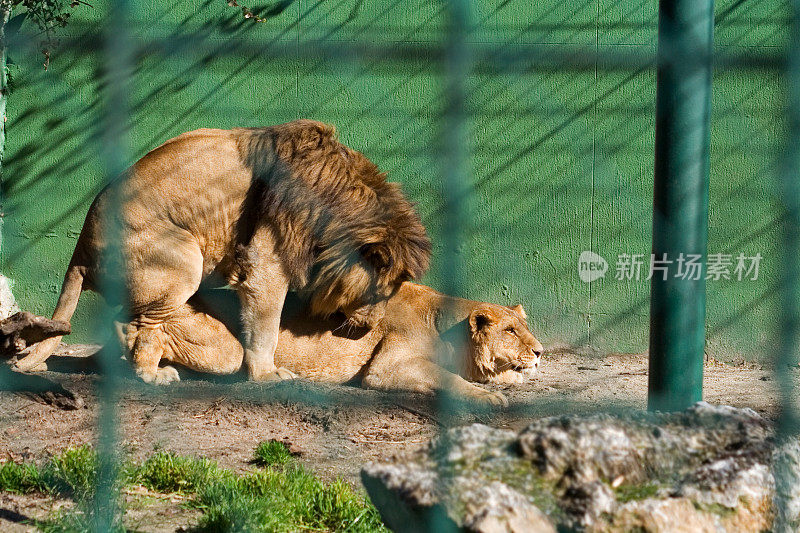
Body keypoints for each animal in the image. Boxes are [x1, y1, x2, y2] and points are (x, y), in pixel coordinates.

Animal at [14, 119, 432, 382]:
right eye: (379, 294)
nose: (371, 327)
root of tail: (80, 251)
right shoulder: (266, 262)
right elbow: (266, 326)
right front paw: (266, 375)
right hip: (183, 260)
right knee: (142, 324)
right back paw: (150, 373)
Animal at [117, 282, 544, 404]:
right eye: (510, 330)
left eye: (525, 327)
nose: (540, 351)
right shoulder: (388, 367)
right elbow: (448, 379)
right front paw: (489, 396)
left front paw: (511, 378)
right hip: (226, 353)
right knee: (149, 334)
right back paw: (151, 373)